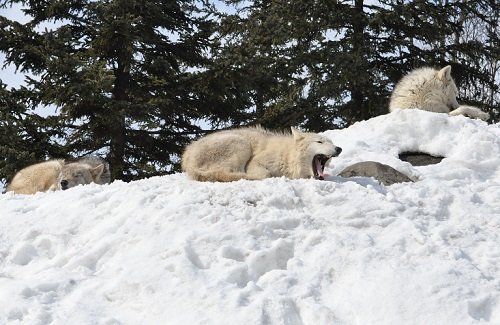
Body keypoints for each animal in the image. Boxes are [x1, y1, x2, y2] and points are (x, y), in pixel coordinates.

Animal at [182, 125, 342, 181]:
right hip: (241, 143)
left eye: (331, 142)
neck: (289, 158)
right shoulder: (256, 162)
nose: (338, 149)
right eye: (319, 142)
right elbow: (265, 173)